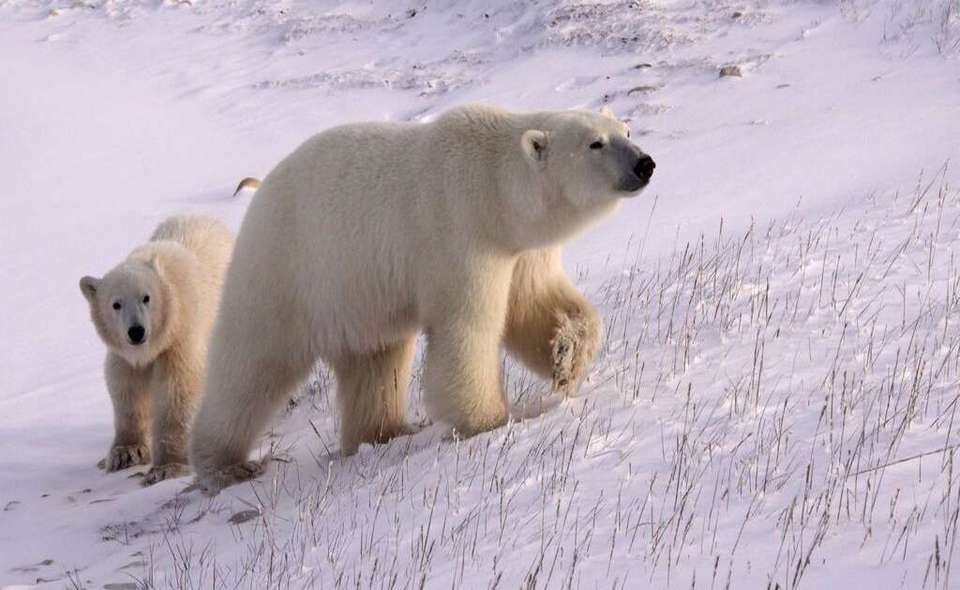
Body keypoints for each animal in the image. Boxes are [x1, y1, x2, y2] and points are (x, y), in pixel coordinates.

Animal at [79, 215, 234, 485]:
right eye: (116, 304)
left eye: (146, 297)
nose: (136, 331)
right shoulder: (124, 356)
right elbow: (126, 389)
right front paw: (126, 452)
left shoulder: (179, 340)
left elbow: (176, 390)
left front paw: (167, 466)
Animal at [189, 104, 655, 494]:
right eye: (595, 143)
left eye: (626, 130)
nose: (644, 163)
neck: (493, 188)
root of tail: (259, 197)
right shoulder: (458, 232)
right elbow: (467, 326)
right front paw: (488, 420)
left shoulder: (519, 249)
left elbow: (535, 304)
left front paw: (566, 357)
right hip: (288, 271)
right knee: (252, 366)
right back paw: (224, 464)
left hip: (358, 299)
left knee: (375, 362)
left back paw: (384, 433)